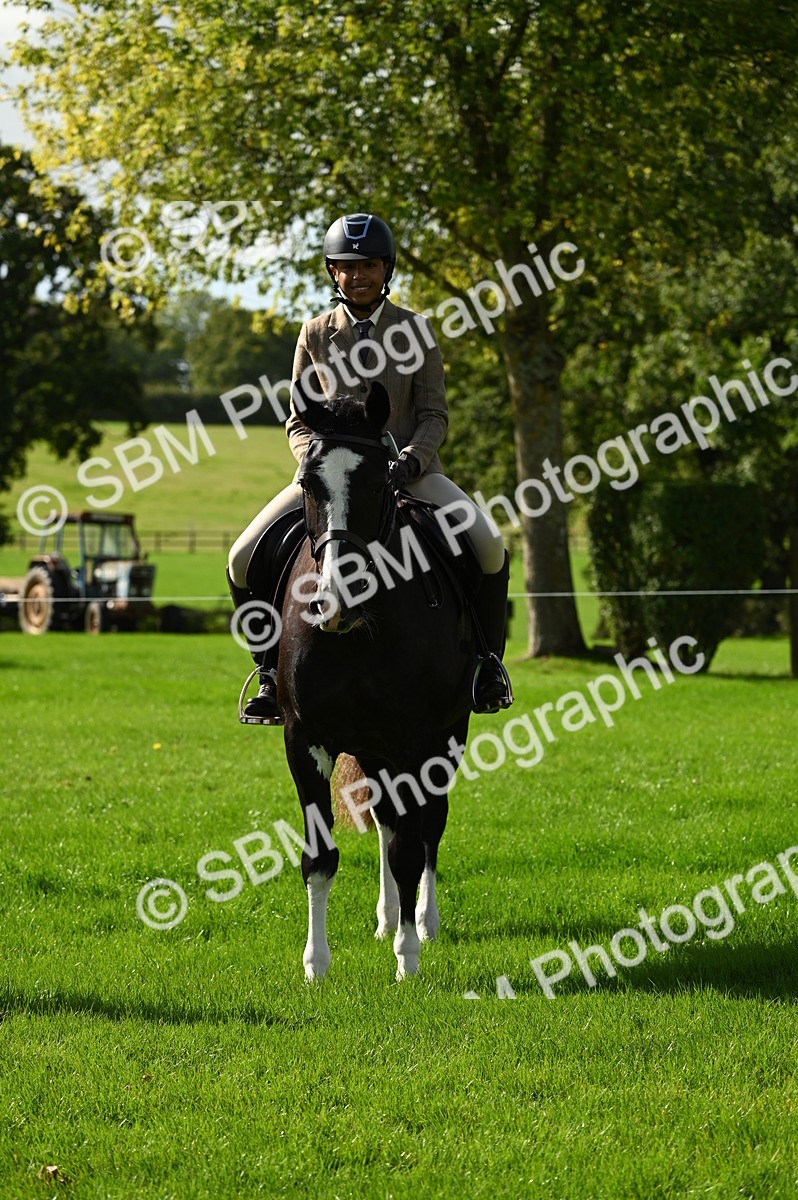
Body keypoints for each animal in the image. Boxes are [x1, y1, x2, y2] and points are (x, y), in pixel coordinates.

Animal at [275, 381, 478, 981]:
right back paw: (388, 918)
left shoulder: (416, 740)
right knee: (389, 822)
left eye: (378, 482)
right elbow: (320, 856)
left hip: (448, 733)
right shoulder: (304, 739)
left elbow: (413, 848)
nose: (334, 603)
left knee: (427, 827)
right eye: (308, 484)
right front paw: (316, 965)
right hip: (371, 748)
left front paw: (407, 960)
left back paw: (422, 924)